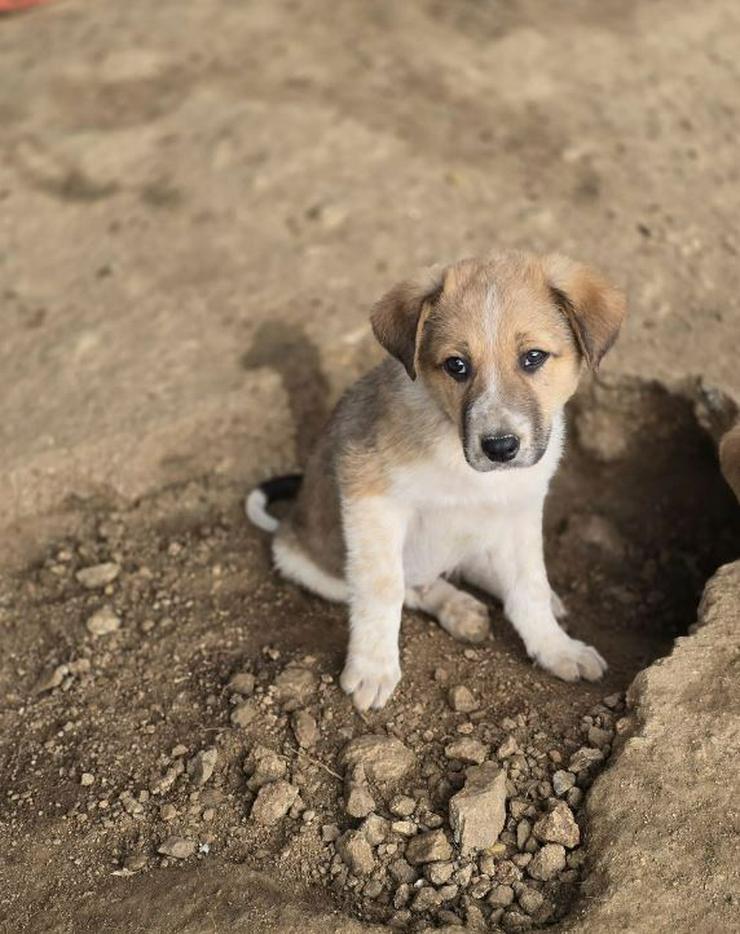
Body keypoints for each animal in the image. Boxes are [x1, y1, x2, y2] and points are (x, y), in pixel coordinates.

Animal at [247, 249, 624, 708]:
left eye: (533, 357)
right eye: (456, 365)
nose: (500, 447)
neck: (459, 460)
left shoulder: (521, 506)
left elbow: (529, 585)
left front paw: (556, 648)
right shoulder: (367, 494)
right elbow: (384, 587)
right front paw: (372, 668)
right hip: (305, 563)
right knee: (414, 584)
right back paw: (457, 607)